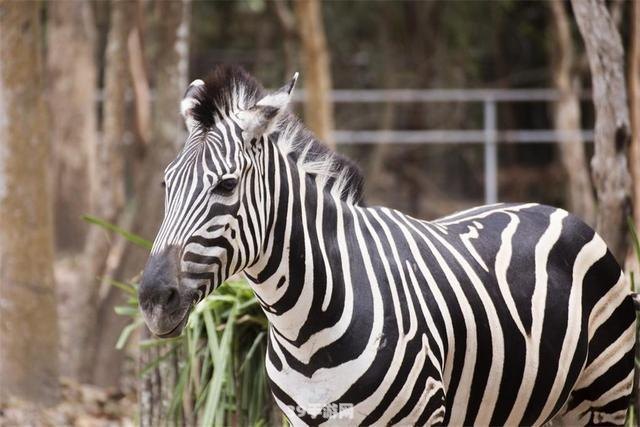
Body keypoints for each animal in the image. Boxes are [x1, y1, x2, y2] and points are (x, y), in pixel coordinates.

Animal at [139, 65, 636, 426]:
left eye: (226, 185)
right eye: (165, 185)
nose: (152, 299)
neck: (303, 328)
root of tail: (553, 208)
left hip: (605, 396)